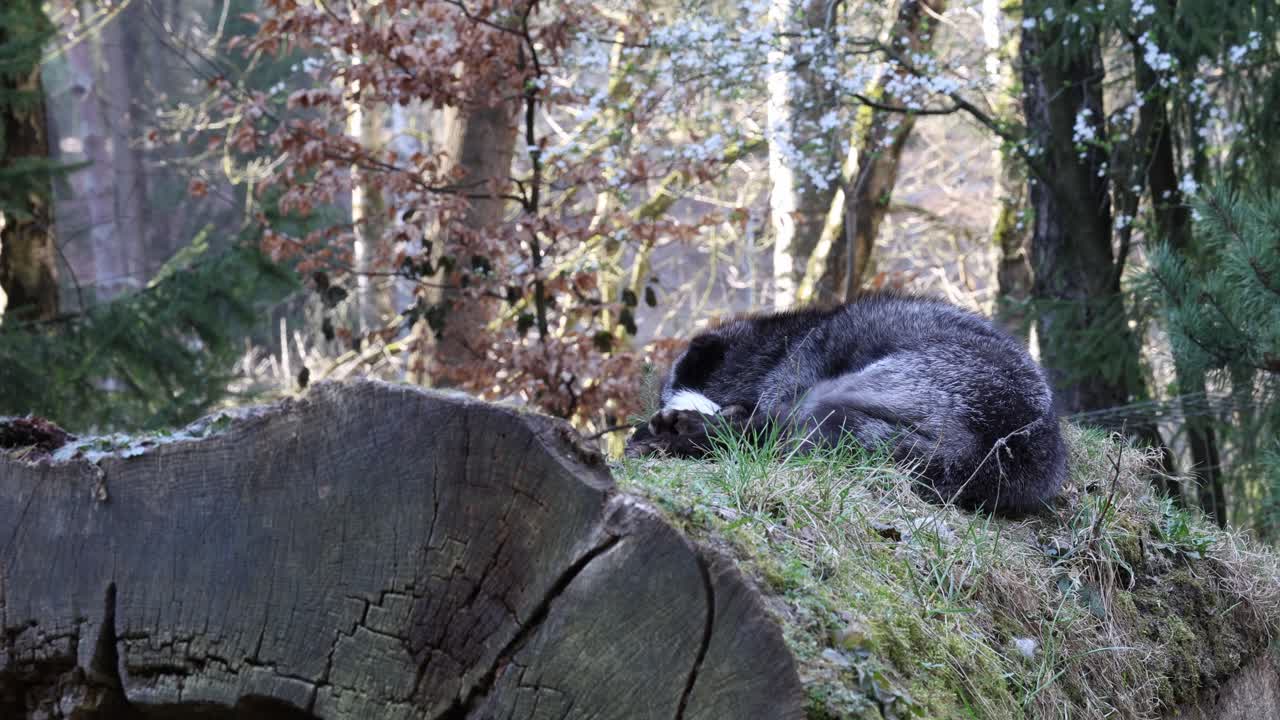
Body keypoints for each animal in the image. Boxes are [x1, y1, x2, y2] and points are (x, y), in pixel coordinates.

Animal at [626, 293, 1067, 515]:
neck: (777, 346)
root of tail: (995, 446)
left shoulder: (793, 379)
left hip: (835, 393)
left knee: (766, 436)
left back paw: (682, 436)